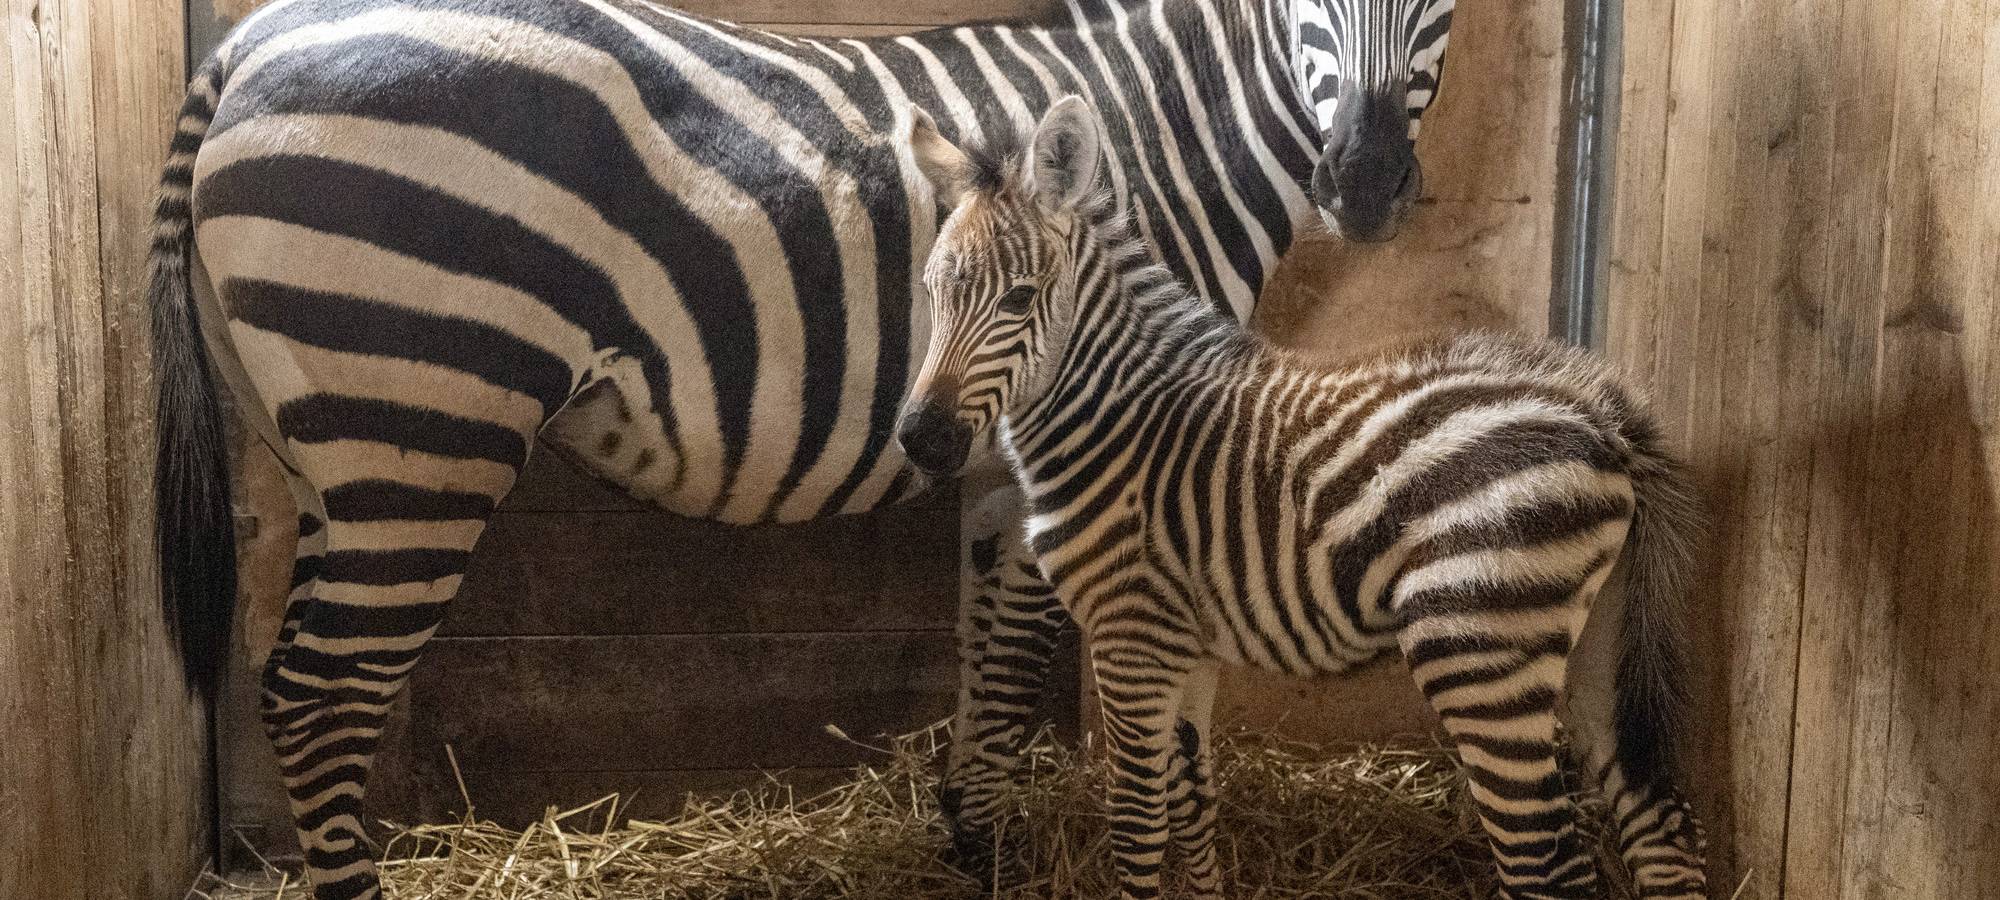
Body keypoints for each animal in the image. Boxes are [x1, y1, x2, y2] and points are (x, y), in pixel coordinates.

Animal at [147, 1, 1458, 896]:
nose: (1367, 182)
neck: (1161, 145)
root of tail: (252, 38)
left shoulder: (1004, 448)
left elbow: (991, 635)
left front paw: (970, 834)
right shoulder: (1098, 430)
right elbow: (1053, 652)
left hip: (333, 445)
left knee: (294, 679)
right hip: (423, 422)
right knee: (325, 691)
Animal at [897, 97, 1710, 900]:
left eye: (1019, 299)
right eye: (931, 292)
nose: (921, 439)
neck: (1116, 415)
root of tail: (1601, 414)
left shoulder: (1132, 635)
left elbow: (1137, 824)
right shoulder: (1187, 644)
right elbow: (1193, 803)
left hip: (1479, 646)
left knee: (1544, 861)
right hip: (1596, 644)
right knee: (1661, 829)